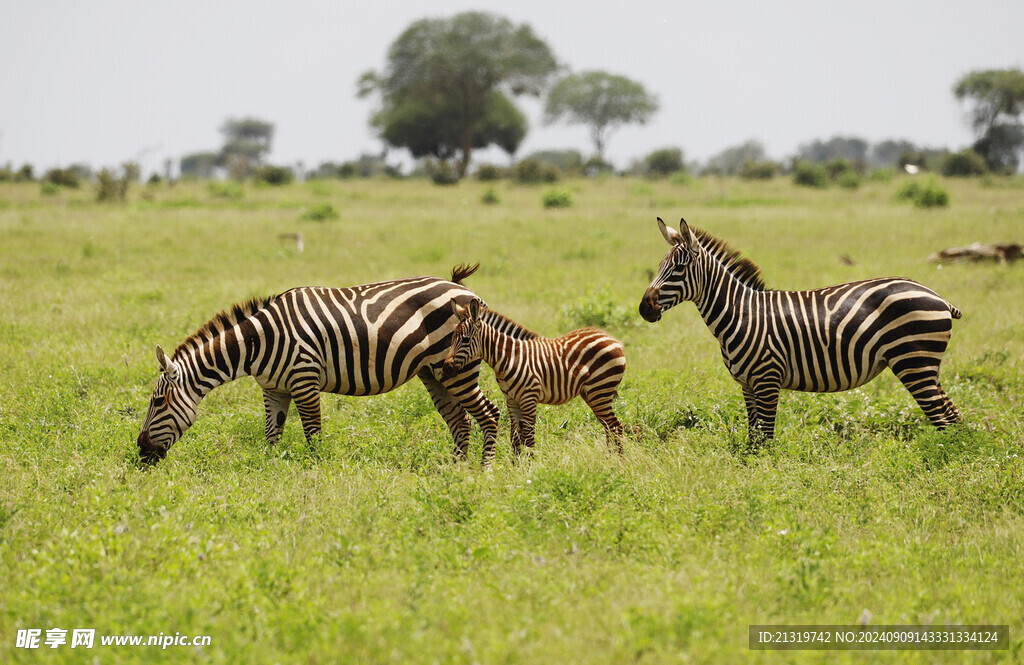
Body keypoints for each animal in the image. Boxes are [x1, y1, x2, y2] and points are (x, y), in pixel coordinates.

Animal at [137, 266, 499, 467]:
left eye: (158, 402)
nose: (140, 452)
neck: (259, 342)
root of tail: (462, 288)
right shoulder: (274, 390)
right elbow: (272, 435)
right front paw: (270, 469)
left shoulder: (305, 380)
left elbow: (313, 435)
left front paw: (314, 471)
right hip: (435, 373)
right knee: (460, 421)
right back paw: (455, 470)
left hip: (458, 368)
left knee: (489, 414)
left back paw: (483, 470)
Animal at [442, 301, 626, 456]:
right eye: (451, 338)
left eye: (465, 339)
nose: (445, 369)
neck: (509, 358)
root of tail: (609, 336)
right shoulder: (511, 400)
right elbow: (515, 437)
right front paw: (516, 467)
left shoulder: (529, 398)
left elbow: (529, 437)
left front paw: (530, 467)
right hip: (592, 394)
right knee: (609, 427)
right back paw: (610, 459)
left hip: (600, 389)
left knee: (616, 426)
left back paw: (618, 462)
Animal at [634, 219, 962, 446]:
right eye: (659, 266)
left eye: (678, 269)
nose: (644, 308)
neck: (740, 314)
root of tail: (937, 296)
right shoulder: (747, 385)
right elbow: (753, 436)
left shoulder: (767, 380)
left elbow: (765, 437)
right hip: (925, 366)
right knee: (952, 415)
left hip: (913, 363)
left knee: (942, 416)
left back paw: (943, 462)